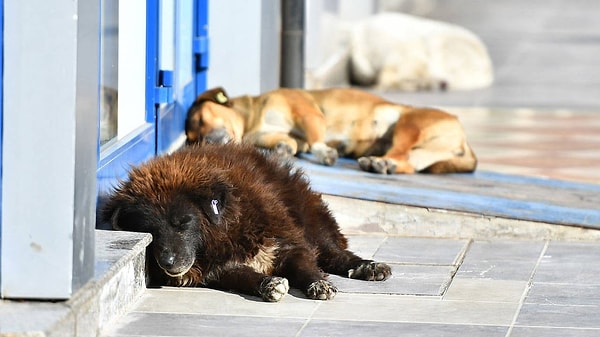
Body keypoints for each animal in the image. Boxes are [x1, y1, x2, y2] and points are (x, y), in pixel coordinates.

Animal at [101, 143, 392, 300]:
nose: (168, 263)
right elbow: (245, 277)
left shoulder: (287, 244)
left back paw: (367, 266)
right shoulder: (218, 270)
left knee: (334, 253)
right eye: (150, 233)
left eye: (182, 223)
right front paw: (269, 284)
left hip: (311, 221)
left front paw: (318, 283)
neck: (225, 228)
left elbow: (305, 267)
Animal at [185, 86, 476, 173]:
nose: (208, 142)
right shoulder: (283, 135)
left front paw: (325, 153)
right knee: (408, 163)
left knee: (401, 152)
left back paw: (379, 163)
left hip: (407, 125)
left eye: (200, 120)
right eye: (191, 139)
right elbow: (290, 143)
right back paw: (382, 164)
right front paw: (280, 151)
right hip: (422, 150)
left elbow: (315, 142)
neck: (252, 119)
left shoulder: (309, 115)